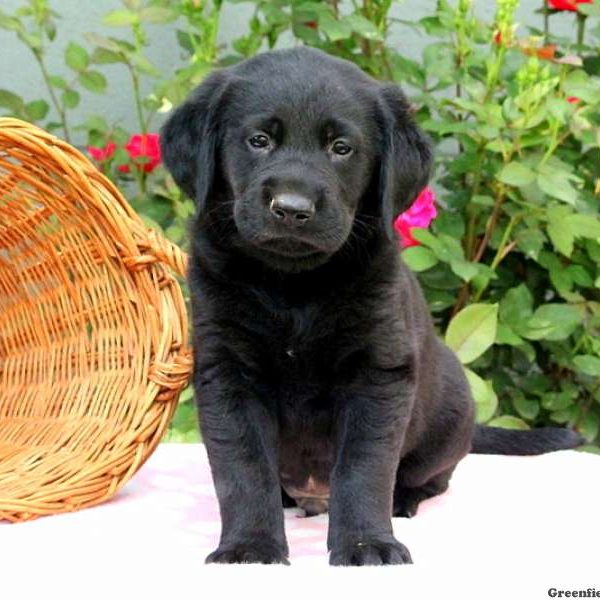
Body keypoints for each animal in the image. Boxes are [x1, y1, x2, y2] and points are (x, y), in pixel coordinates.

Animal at [162, 48, 584, 568]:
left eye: (342, 148)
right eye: (258, 140)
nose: (292, 208)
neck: (293, 286)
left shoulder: (377, 375)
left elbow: (364, 469)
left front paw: (367, 544)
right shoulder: (227, 372)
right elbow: (243, 468)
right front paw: (250, 547)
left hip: (450, 412)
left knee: (432, 476)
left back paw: (404, 498)